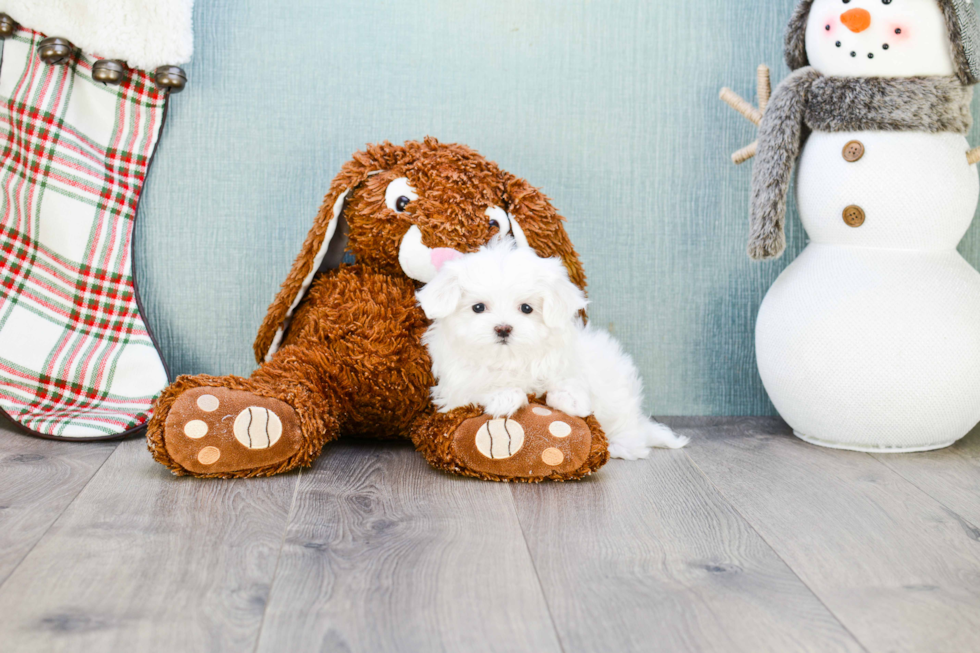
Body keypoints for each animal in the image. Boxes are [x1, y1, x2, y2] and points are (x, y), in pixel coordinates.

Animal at [416, 239, 688, 458]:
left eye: (526, 308)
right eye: (478, 308)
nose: (503, 328)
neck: (510, 359)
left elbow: (568, 383)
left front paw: (569, 398)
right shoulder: (454, 389)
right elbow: (478, 387)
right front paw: (505, 395)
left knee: (632, 433)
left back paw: (621, 445)